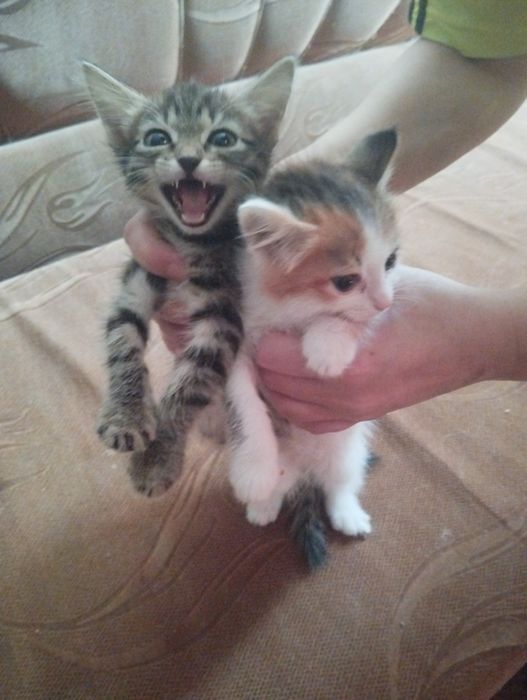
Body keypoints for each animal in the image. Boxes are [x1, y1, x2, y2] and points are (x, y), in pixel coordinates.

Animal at [83, 57, 295, 496]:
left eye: (223, 138)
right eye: (157, 137)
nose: (188, 159)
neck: (189, 243)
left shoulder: (224, 316)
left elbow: (190, 384)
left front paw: (158, 456)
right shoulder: (138, 278)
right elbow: (122, 341)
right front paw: (127, 412)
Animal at [227, 129, 399, 569]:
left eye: (391, 261)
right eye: (345, 281)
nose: (386, 302)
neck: (293, 305)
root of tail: (305, 468)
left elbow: (349, 320)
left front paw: (326, 348)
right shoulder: (235, 337)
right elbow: (242, 400)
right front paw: (254, 470)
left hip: (347, 450)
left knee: (338, 482)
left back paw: (347, 513)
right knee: (287, 483)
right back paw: (265, 501)